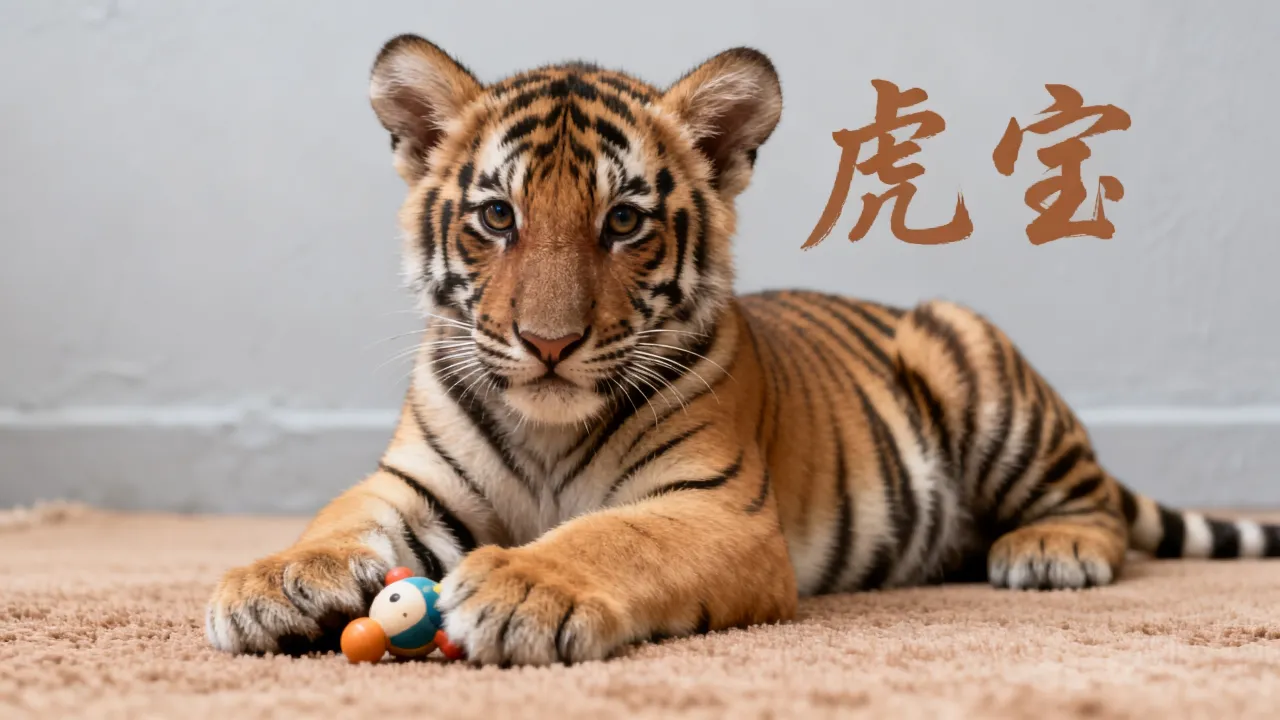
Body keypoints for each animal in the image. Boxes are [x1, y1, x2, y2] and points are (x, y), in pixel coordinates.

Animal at [206, 34, 1280, 666]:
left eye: (624, 220)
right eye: (498, 216)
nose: (548, 343)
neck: (548, 430)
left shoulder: (715, 508)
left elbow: (613, 536)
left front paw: (522, 587)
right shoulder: (410, 486)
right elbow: (337, 518)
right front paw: (269, 584)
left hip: (965, 349)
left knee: (1096, 505)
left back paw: (1049, 551)